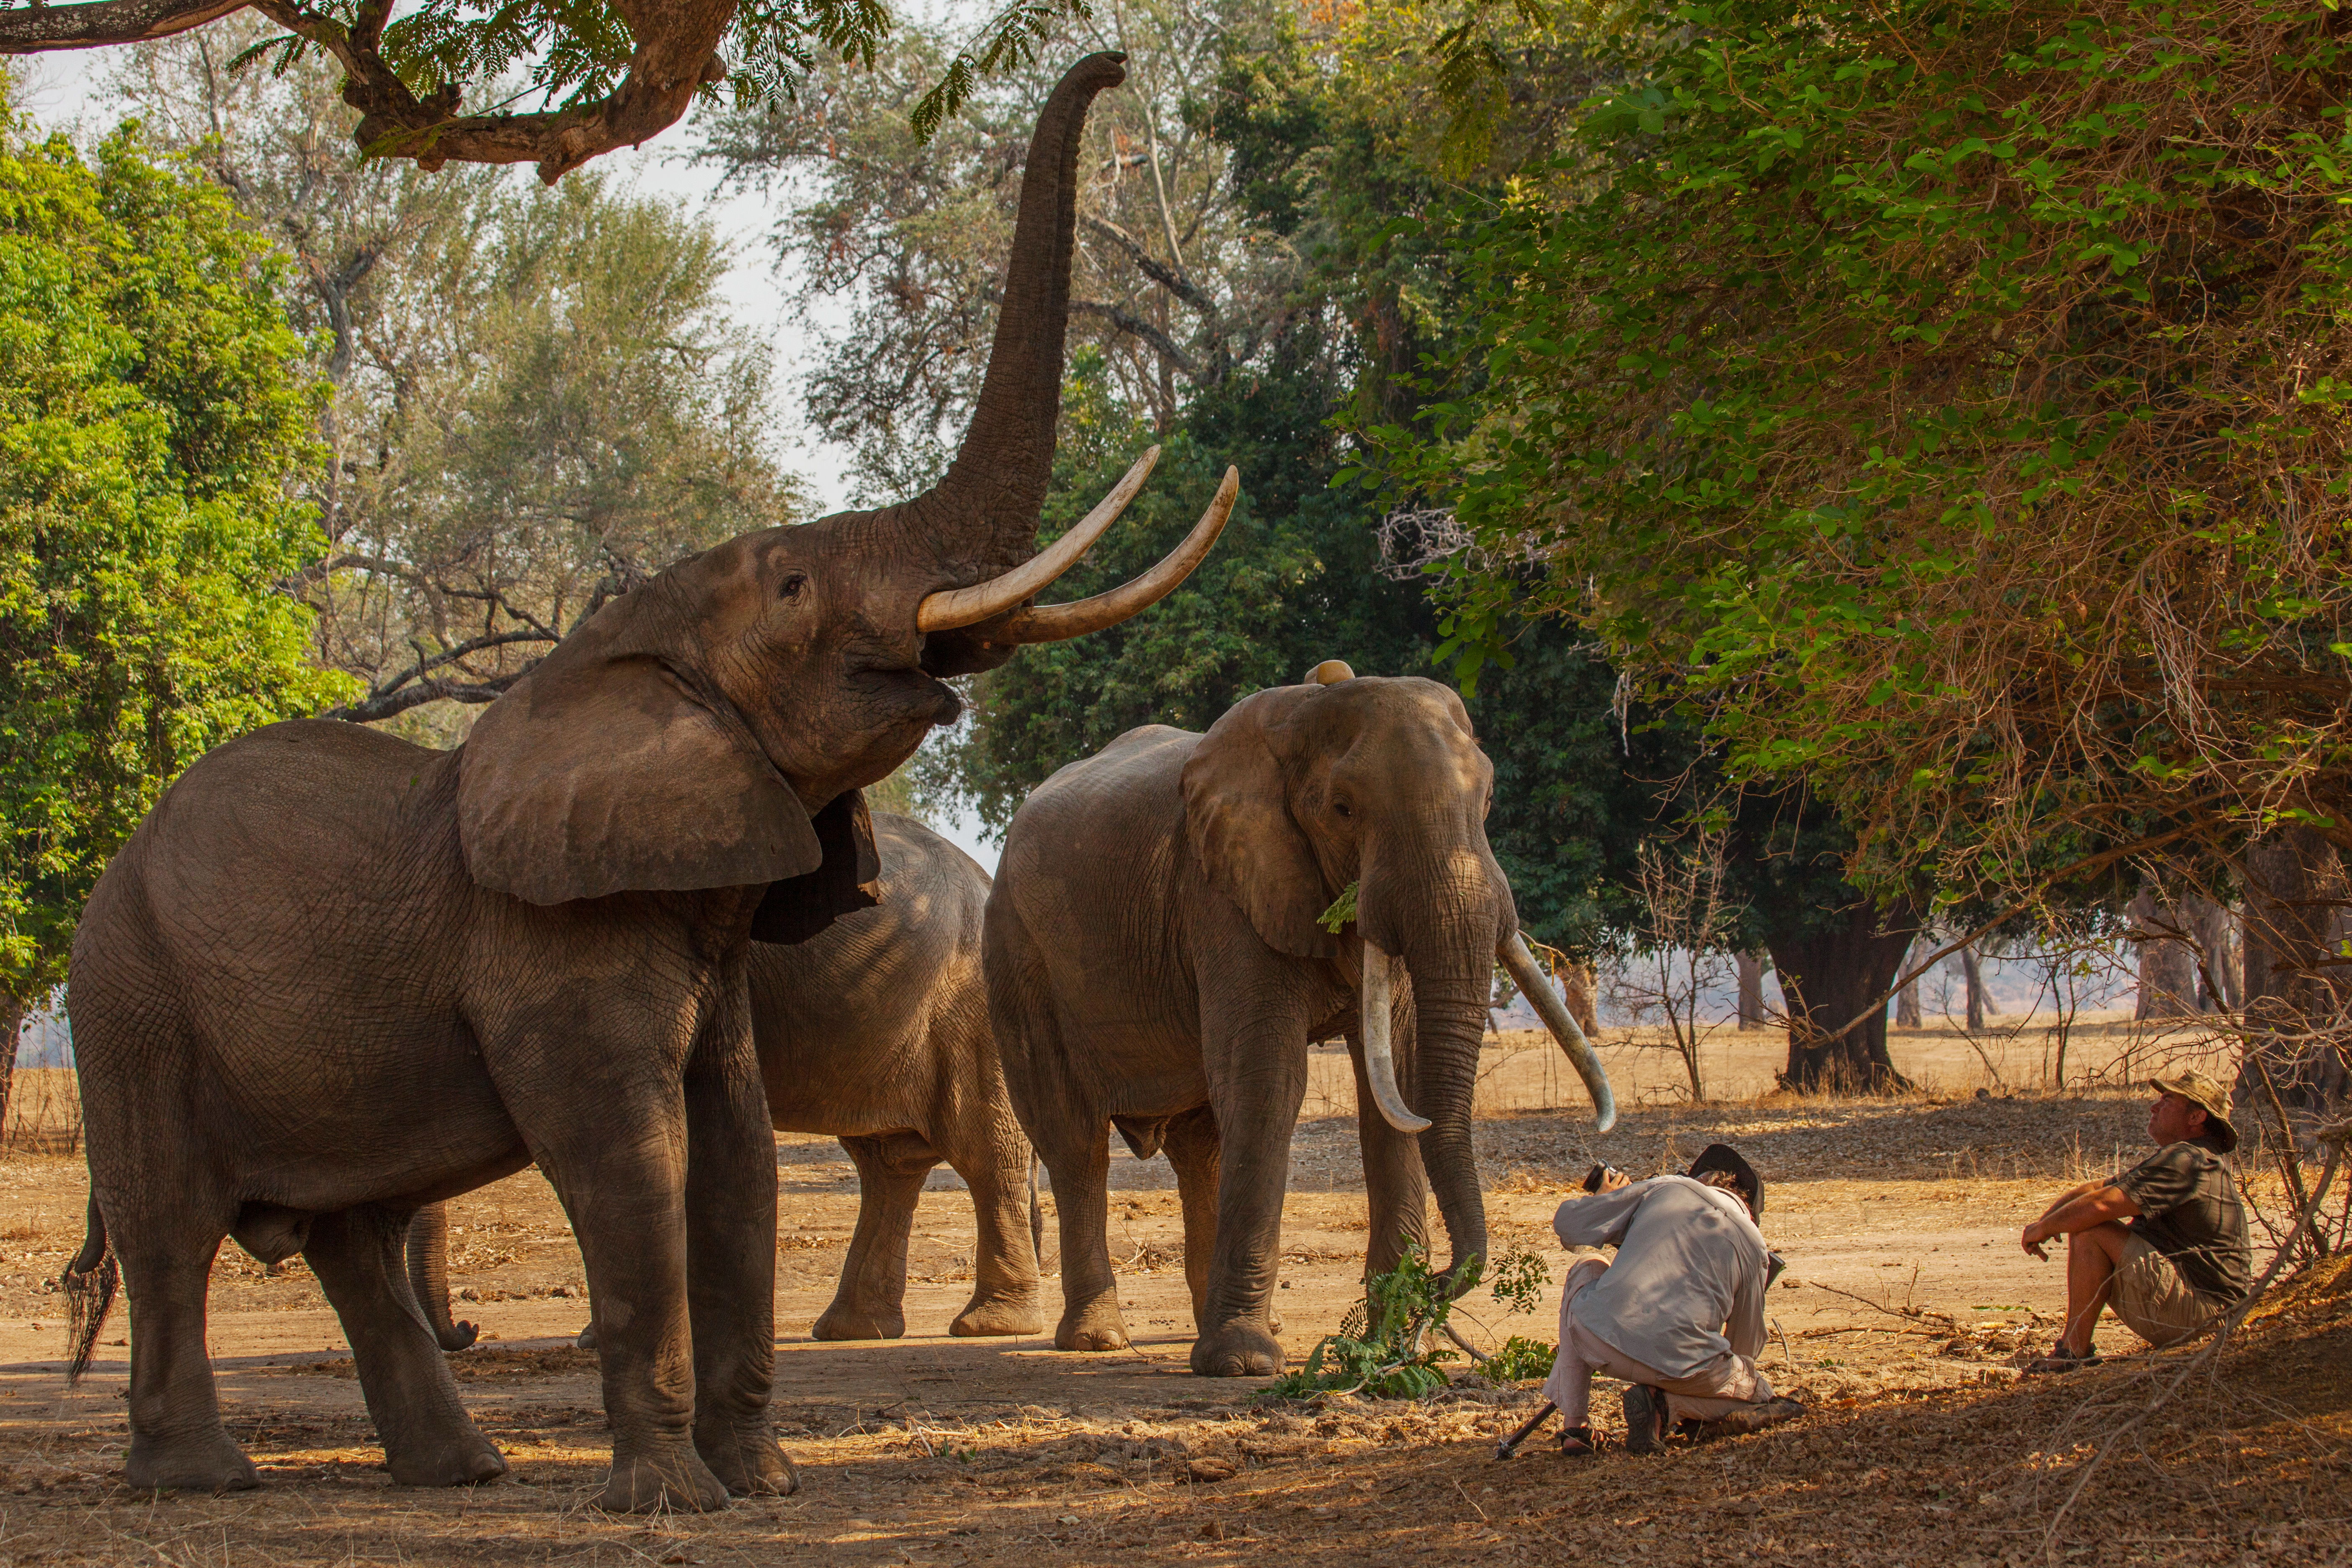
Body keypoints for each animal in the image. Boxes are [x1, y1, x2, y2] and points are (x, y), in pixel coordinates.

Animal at [409, 808, 1044, 1354]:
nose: (468, 1330)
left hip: (970, 1007)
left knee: (982, 1151)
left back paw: (989, 1325)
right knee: (888, 1163)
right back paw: (852, 1330)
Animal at [978, 668, 1618, 1382]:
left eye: (1488, 798)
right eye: (1343, 809)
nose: (1438, 1289)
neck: (1308, 708)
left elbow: (1397, 1087)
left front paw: (1398, 1350)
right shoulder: (1223, 892)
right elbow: (1269, 1083)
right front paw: (1243, 1365)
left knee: (1201, 1145)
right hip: (1016, 956)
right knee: (1075, 1140)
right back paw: (1100, 1340)